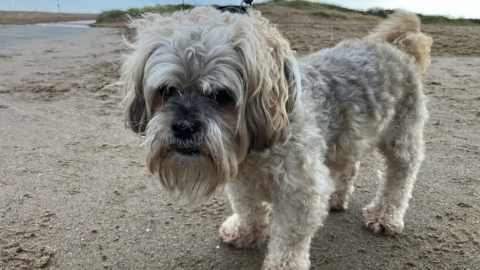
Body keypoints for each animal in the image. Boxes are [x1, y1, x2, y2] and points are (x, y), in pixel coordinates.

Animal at [119, 6, 432, 270]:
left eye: (220, 95)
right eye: (167, 90)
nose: (184, 126)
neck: (254, 149)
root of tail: (395, 48)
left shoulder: (301, 193)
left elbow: (290, 237)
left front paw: (283, 264)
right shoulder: (241, 182)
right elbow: (248, 209)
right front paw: (245, 233)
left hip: (401, 137)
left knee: (400, 177)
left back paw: (385, 215)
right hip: (348, 137)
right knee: (349, 164)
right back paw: (337, 196)